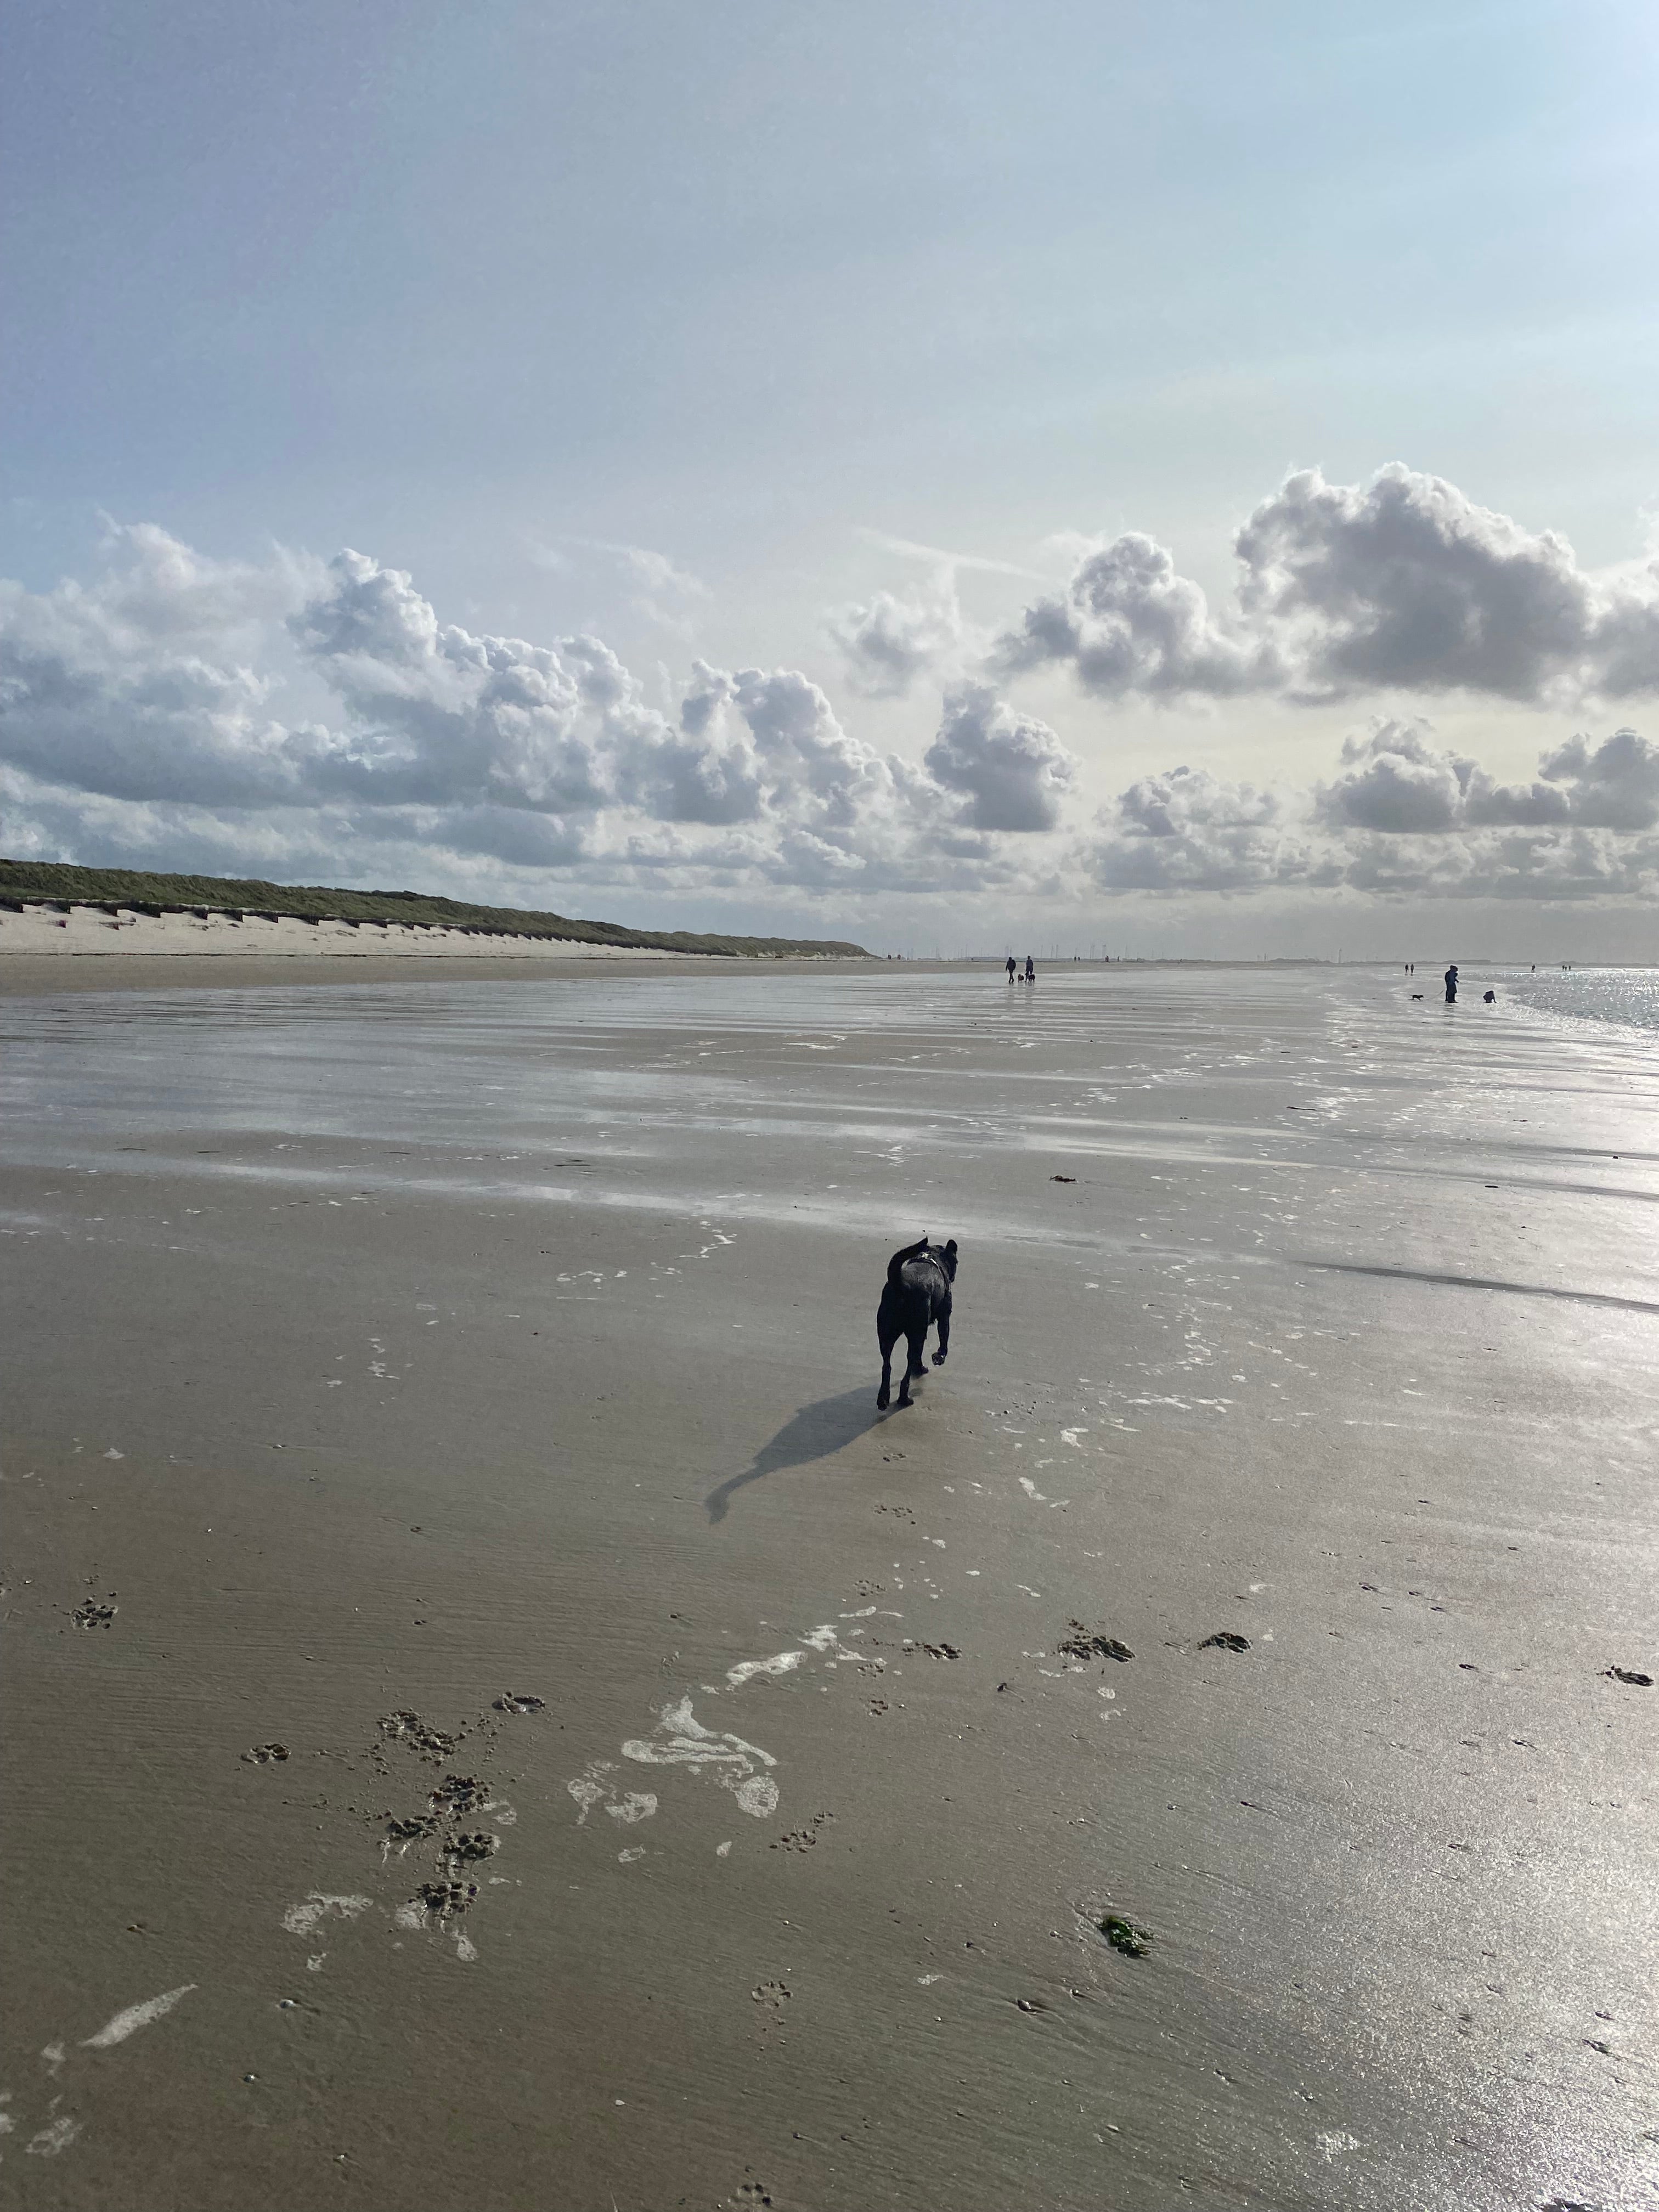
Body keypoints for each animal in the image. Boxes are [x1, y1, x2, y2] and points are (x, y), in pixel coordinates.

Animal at [876, 1238, 955, 1407]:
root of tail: (901, 1285)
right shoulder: (945, 1316)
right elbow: (944, 1340)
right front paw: (939, 1357)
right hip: (916, 1334)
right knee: (908, 1367)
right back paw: (904, 1399)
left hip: (886, 1336)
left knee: (887, 1366)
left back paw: (883, 1399)